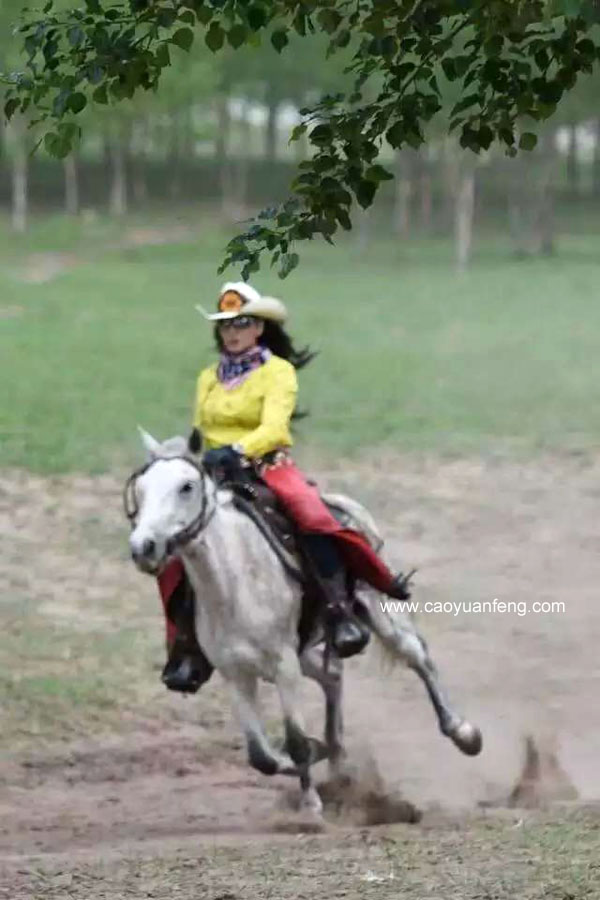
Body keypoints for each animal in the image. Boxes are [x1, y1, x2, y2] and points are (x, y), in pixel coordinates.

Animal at [127, 428, 482, 816]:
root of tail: (340, 505)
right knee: (334, 676)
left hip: (381, 614)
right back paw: (337, 759)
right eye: (141, 488)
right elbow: (261, 757)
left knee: (418, 657)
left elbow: (296, 741)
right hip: (308, 652)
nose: (143, 547)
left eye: (186, 486)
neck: (233, 582)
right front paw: (314, 758)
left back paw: (464, 733)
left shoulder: (284, 666)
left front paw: (311, 806)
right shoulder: (234, 674)